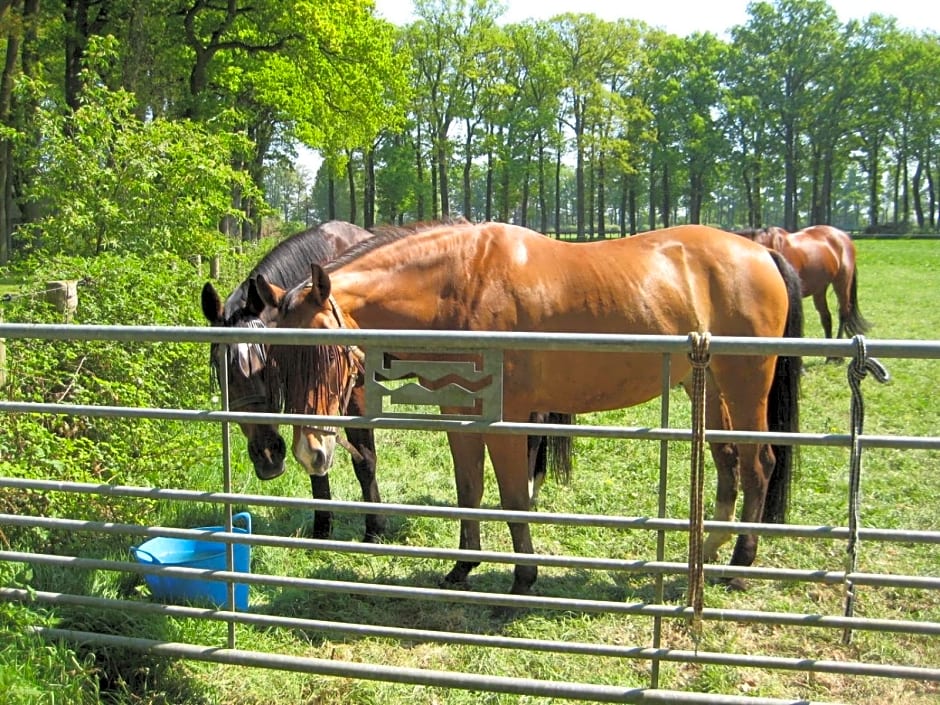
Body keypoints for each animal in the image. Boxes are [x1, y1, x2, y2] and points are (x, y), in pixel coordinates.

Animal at [255, 221, 800, 592]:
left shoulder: (506, 419)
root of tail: (763, 251)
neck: (461, 285)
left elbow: (515, 496)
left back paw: (740, 565)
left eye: (330, 351)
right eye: (279, 356)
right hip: (705, 387)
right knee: (727, 462)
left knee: (758, 463)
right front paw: (462, 567)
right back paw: (706, 555)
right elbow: (469, 491)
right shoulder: (459, 414)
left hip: (745, 384)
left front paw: (524, 576)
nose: (310, 453)